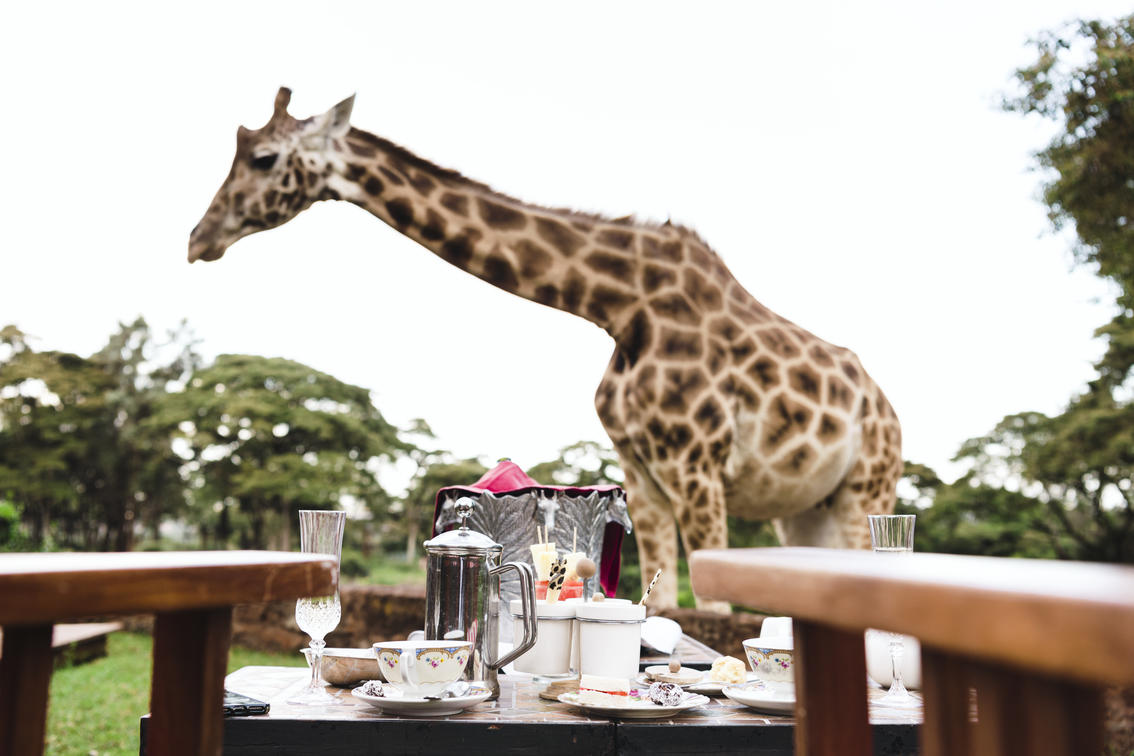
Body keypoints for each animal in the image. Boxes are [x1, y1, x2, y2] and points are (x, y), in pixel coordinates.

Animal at [185, 88, 898, 607]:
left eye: (265, 159)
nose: (199, 238)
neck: (620, 307)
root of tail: (886, 410)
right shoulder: (646, 473)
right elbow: (669, 601)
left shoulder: (698, 467)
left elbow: (714, 607)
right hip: (805, 510)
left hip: (868, 487)